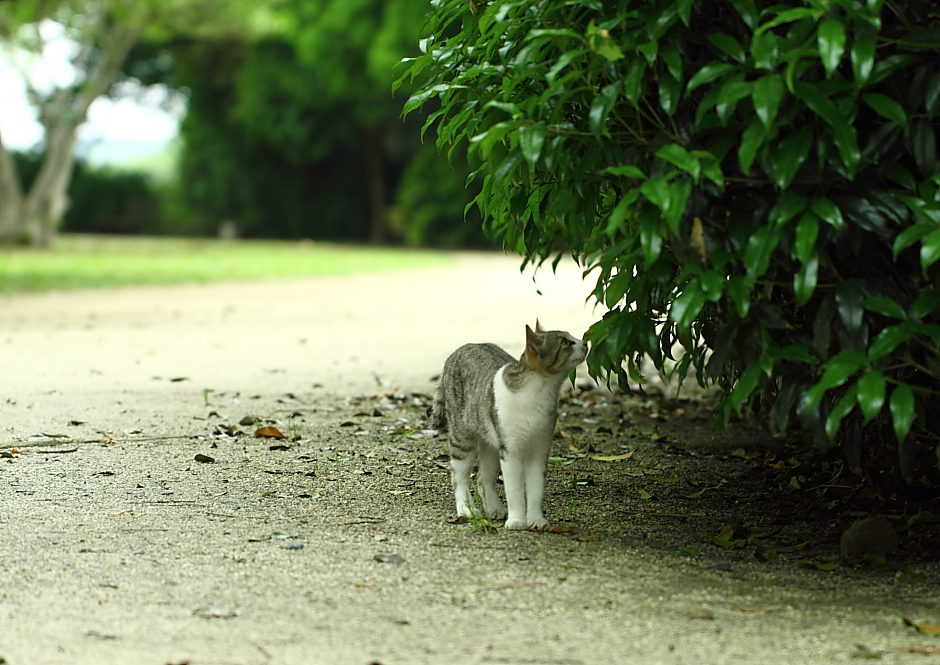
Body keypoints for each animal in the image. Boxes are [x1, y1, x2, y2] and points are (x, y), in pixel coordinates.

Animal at [430, 322, 584, 528]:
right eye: (566, 342)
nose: (585, 343)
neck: (539, 392)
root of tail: (457, 351)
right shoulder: (510, 451)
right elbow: (514, 490)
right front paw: (517, 520)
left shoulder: (540, 450)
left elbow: (536, 489)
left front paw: (536, 520)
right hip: (462, 438)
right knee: (459, 477)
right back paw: (466, 509)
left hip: (491, 442)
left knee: (482, 479)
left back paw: (494, 507)